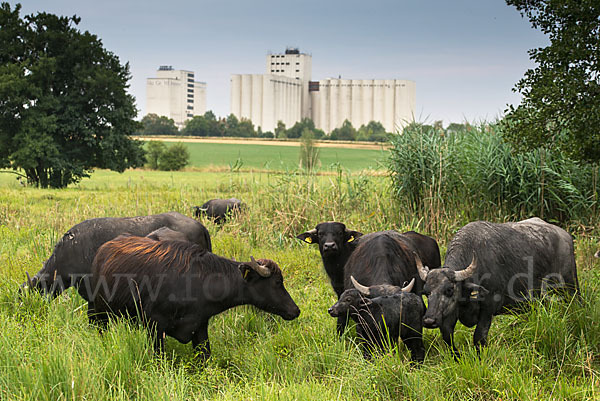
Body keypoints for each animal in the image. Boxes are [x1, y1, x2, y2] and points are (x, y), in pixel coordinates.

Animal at [88, 233, 300, 358]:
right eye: (277, 282)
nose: (296, 310)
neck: (195, 283)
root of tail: (102, 251)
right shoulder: (155, 326)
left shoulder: (200, 327)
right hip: (100, 313)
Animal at [414, 217, 580, 358]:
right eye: (426, 292)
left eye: (449, 290)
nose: (429, 321)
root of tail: (566, 236)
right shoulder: (449, 313)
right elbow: (448, 338)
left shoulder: (488, 308)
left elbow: (479, 338)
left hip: (570, 285)